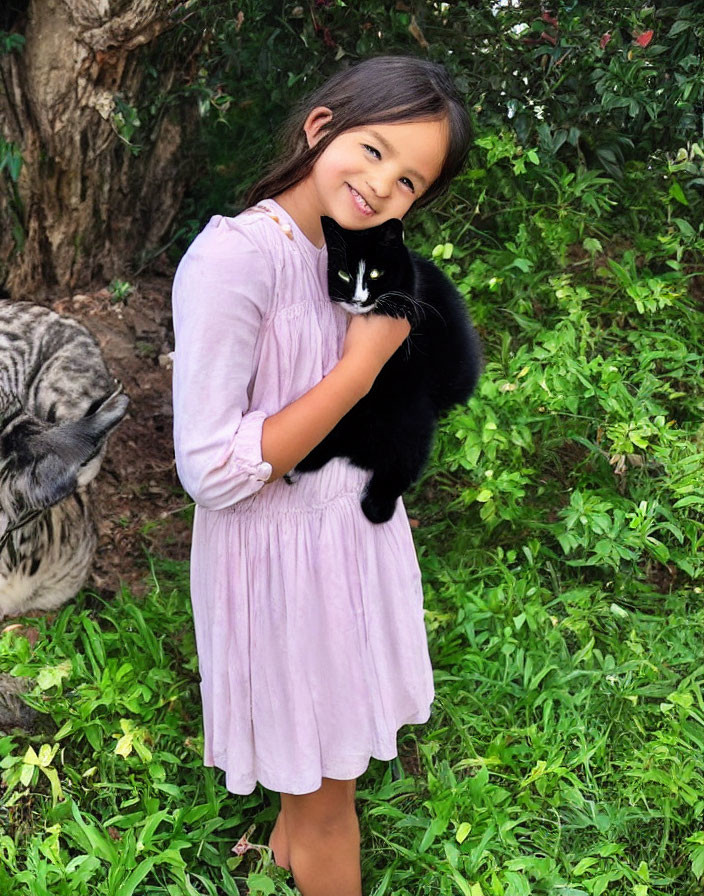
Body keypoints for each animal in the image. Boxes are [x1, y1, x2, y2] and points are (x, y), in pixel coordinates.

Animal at [292, 216, 484, 520]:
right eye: (344, 274)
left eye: (375, 273)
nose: (358, 299)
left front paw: (396, 306)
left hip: (409, 411)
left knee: (405, 456)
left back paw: (377, 503)